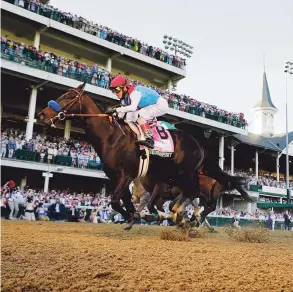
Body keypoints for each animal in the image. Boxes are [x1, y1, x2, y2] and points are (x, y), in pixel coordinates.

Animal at [37, 82, 203, 228]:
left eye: (68, 96)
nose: (41, 114)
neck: (111, 137)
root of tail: (198, 145)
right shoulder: (115, 177)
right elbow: (125, 202)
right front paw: (134, 216)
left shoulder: (126, 174)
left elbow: (116, 201)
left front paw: (136, 216)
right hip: (169, 177)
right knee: (180, 195)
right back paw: (178, 215)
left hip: (183, 173)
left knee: (193, 191)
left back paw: (183, 215)